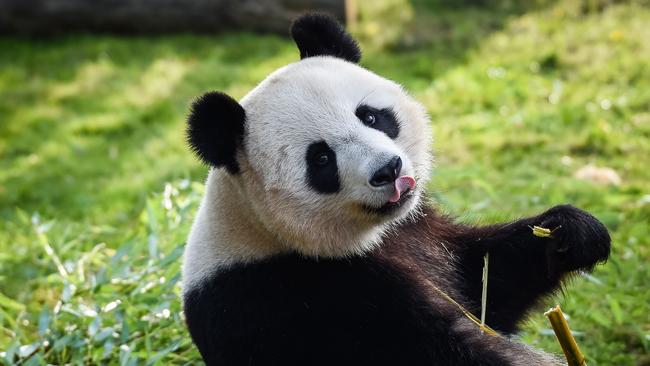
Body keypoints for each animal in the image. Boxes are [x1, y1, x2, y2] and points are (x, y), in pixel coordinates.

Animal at [180, 12, 612, 364]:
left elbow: (487, 282)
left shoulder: (415, 230)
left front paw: (571, 231)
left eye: (370, 116)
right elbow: (438, 348)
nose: (388, 170)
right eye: (320, 159)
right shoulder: (302, 300)